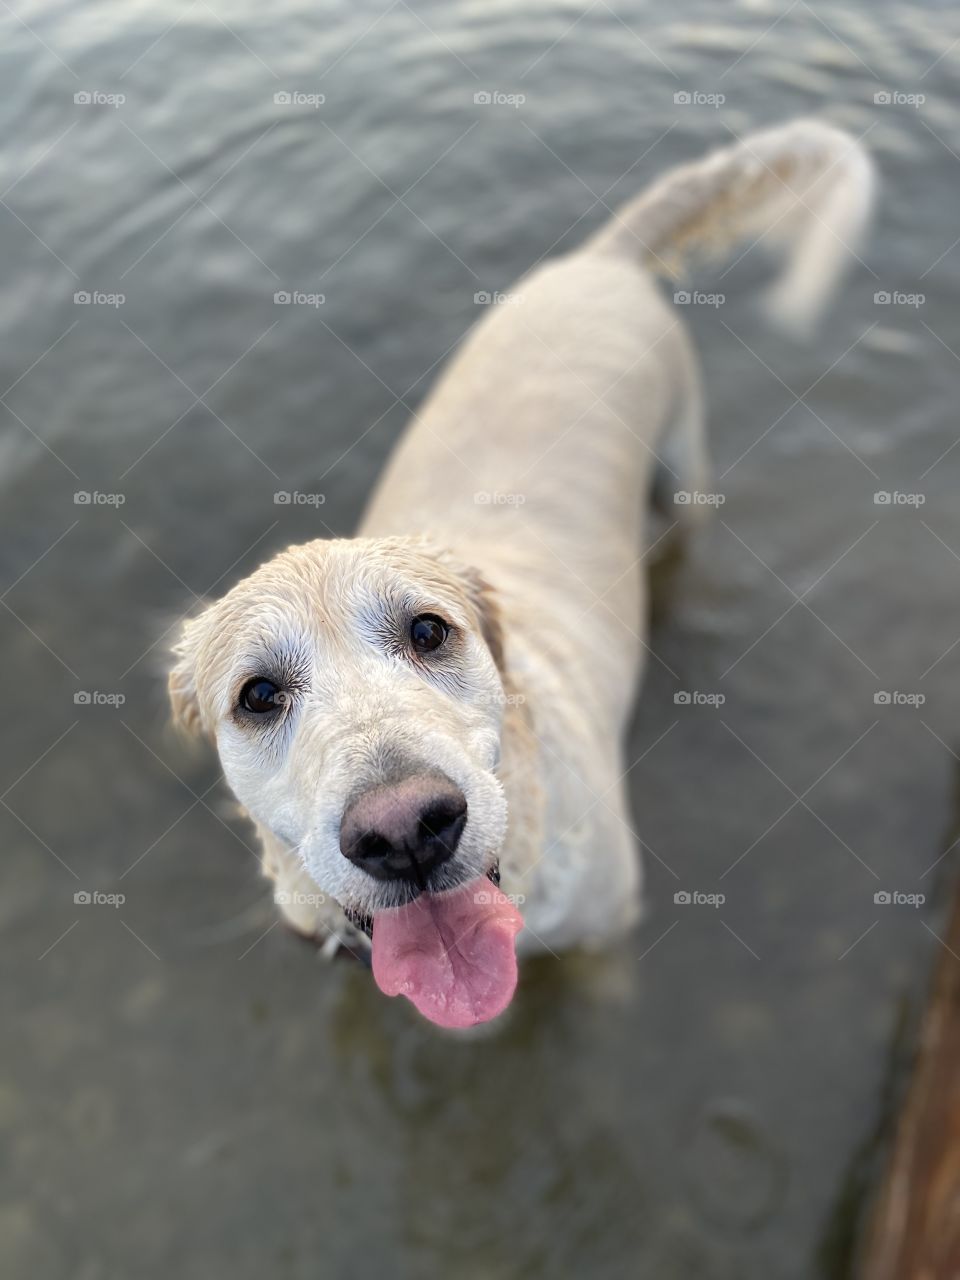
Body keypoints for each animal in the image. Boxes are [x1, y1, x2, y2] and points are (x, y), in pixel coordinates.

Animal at [168, 115, 875, 1024]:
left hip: (681, 467)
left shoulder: (603, 946)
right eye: (257, 695)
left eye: (429, 631)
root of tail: (601, 260)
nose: (406, 830)